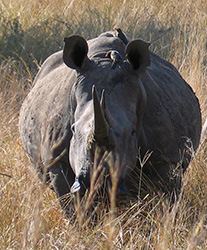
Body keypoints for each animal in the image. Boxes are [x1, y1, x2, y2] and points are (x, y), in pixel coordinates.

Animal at [19, 28, 201, 209]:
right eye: (73, 129)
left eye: (133, 132)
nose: (96, 183)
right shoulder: (56, 161)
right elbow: (73, 205)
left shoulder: (168, 158)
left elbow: (166, 200)